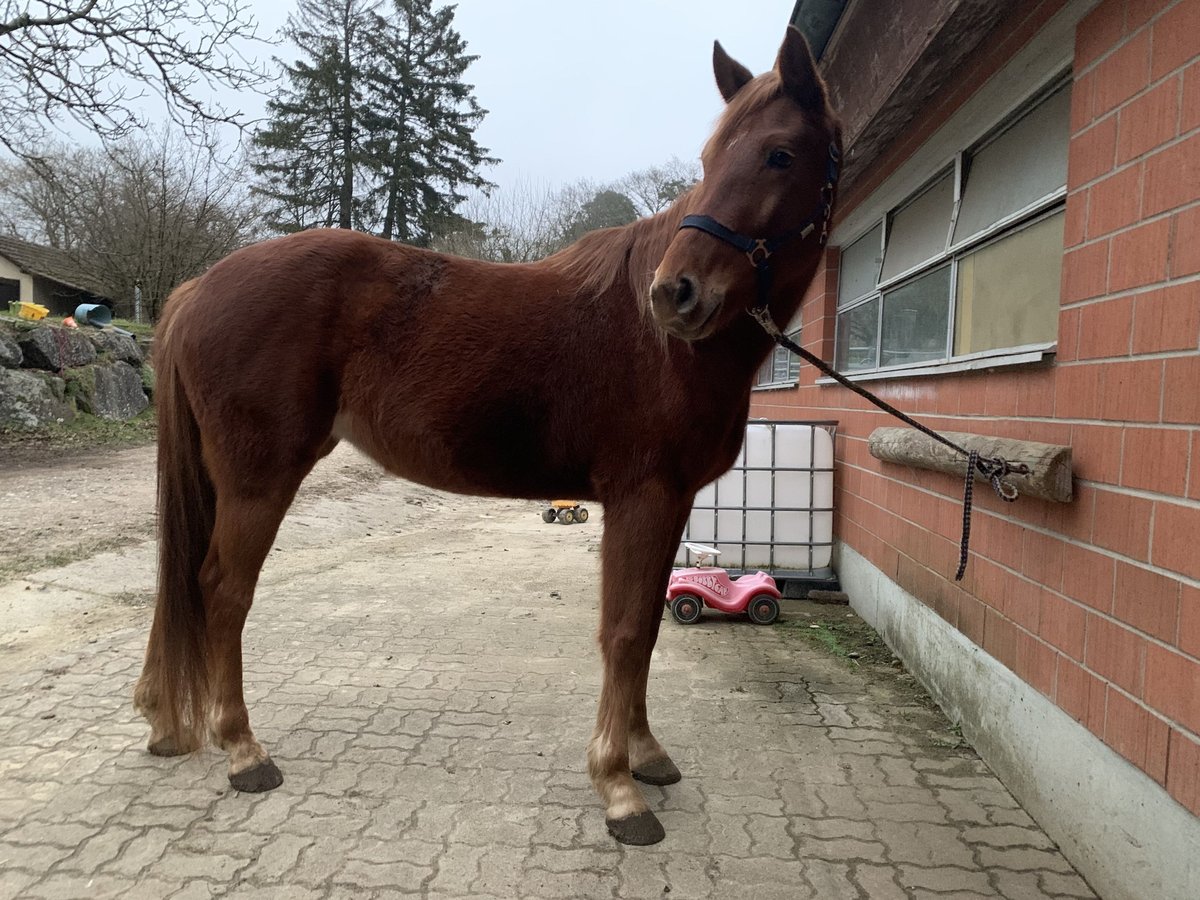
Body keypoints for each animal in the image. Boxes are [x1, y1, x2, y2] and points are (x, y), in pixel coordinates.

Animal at [136, 28, 840, 844]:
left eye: (779, 154)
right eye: (708, 159)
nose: (674, 294)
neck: (666, 349)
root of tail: (198, 289)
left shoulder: (670, 503)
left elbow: (647, 628)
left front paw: (646, 755)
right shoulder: (642, 497)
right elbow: (626, 631)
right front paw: (618, 788)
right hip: (258, 479)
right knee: (223, 590)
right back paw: (244, 750)